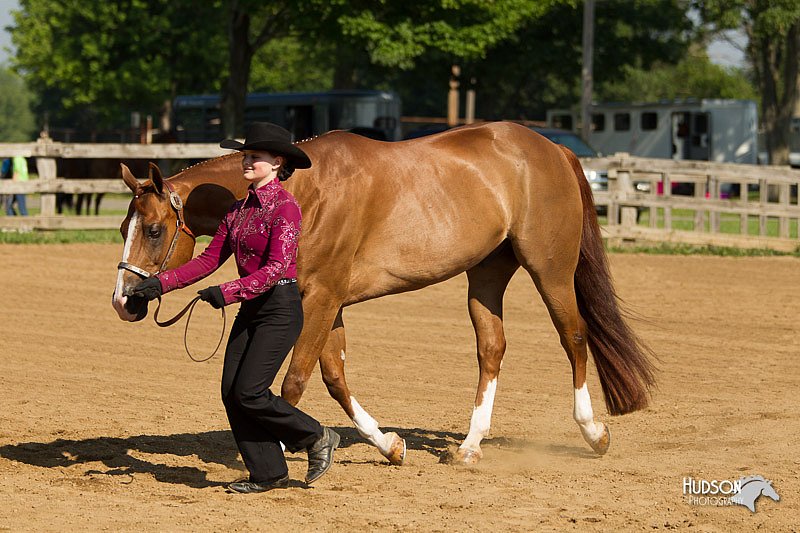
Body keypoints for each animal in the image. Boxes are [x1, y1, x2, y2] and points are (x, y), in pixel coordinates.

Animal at [109, 122, 652, 464]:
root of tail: (553, 150)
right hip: (487, 274)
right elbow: (334, 378)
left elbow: (295, 382)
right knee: (492, 348)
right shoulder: (327, 303)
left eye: (154, 230)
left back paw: (593, 432)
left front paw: (285, 451)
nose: (125, 300)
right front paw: (389, 445)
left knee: (574, 336)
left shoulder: (321, 299)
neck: (307, 192)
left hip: (551, 269)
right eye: (121, 227)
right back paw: (470, 446)